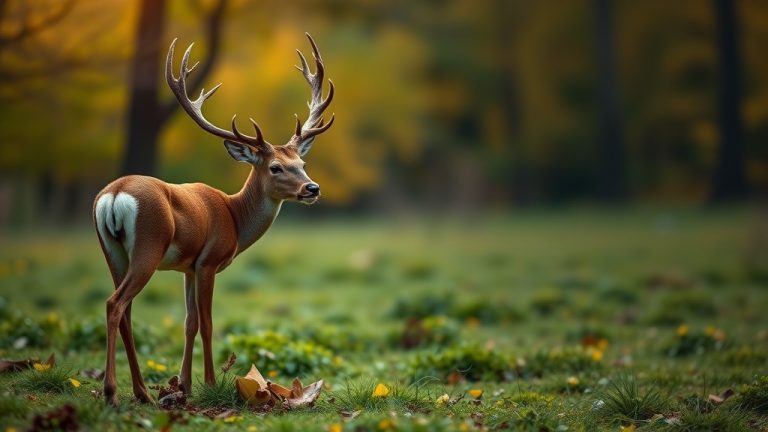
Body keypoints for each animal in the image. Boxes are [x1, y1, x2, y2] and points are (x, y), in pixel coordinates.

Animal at [92, 34, 334, 407]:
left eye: (302, 164)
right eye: (275, 167)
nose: (312, 188)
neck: (234, 216)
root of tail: (115, 194)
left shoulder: (188, 267)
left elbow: (189, 322)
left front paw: (185, 386)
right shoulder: (209, 260)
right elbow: (207, 322)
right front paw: (208, 383)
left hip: (112, 250)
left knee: (125, 310)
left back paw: (143, 392)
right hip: (149, 245)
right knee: (115, 304)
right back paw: (112, 392)